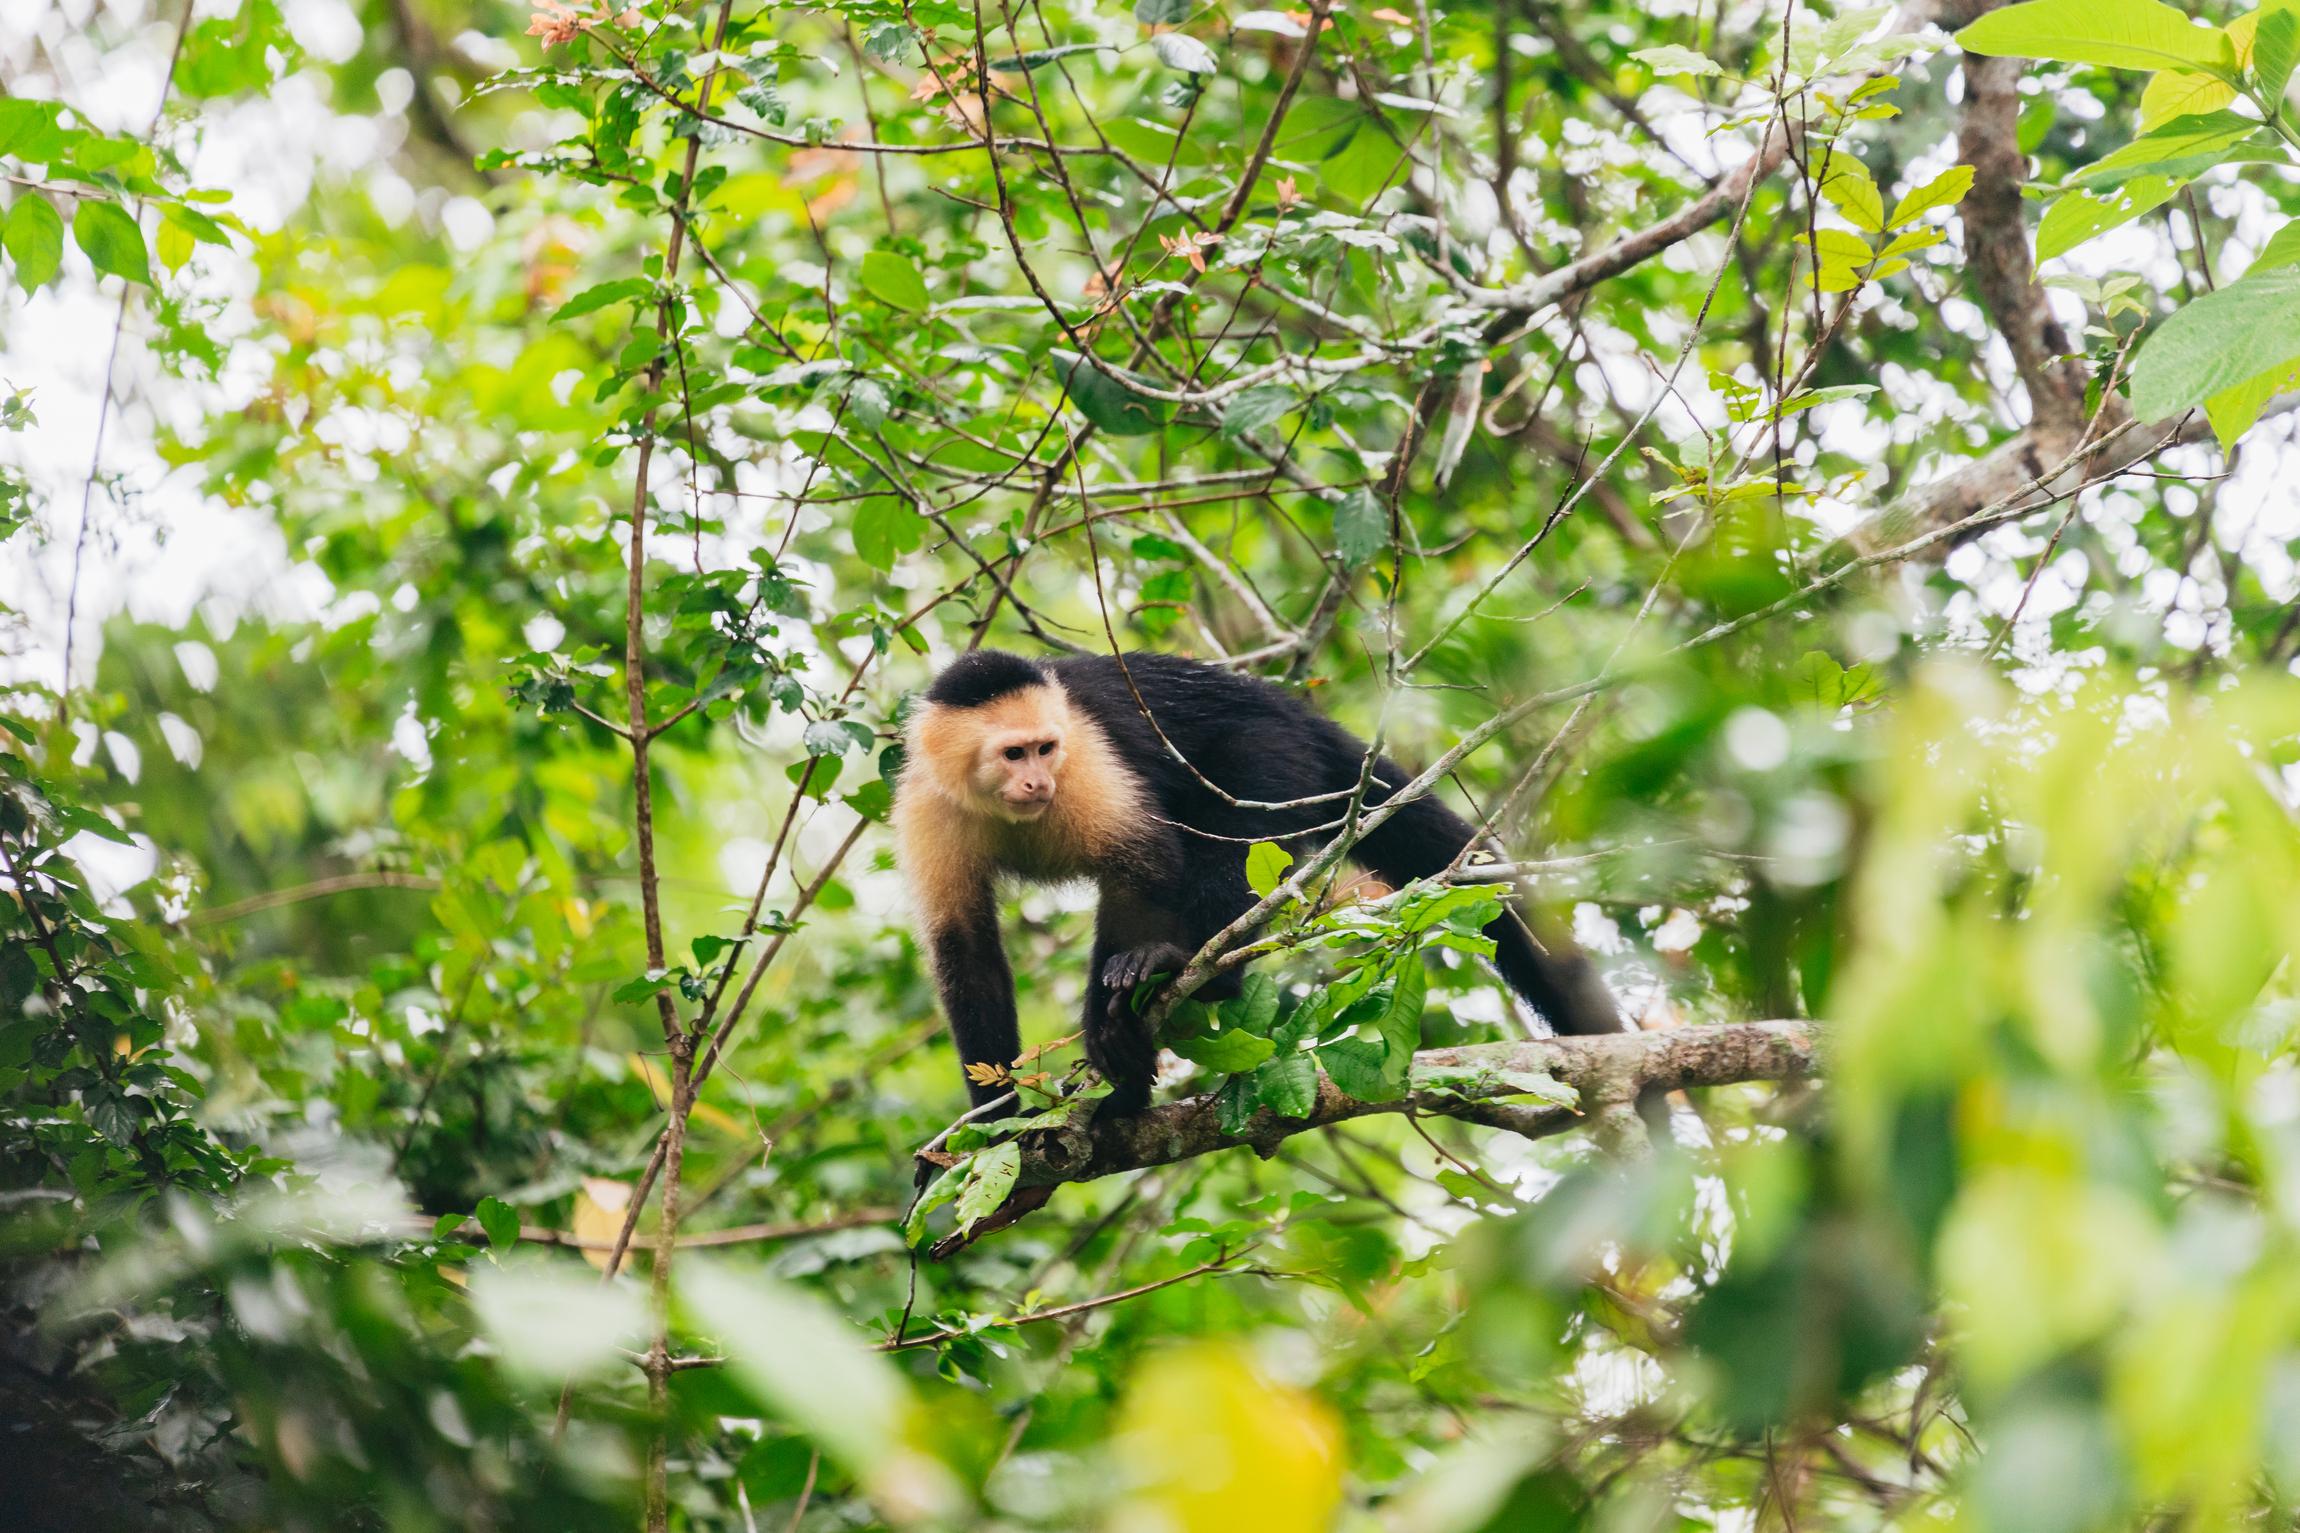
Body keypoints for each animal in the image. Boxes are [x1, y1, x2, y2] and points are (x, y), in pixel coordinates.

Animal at [892, 649, 1628, 1118]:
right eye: (1013, 753)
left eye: (1045, 749)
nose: (1037, 782)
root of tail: (1289, 707)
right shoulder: (928, 803)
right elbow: (965, 947)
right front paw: (993, 1119)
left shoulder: (1087, 766)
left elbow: (1146, 866)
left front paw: (1118, 1022)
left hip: (1273, 749)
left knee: (1232, 833)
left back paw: (1193, 971)